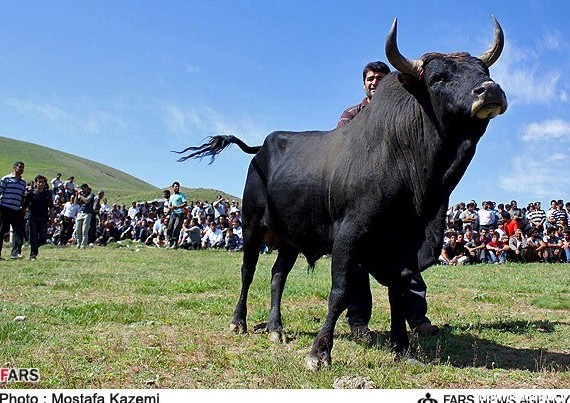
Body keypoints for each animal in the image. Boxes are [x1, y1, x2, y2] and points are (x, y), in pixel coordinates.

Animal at [178, 19, 506, 372]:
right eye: (437, 78)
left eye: (483, 69)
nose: (490, 90)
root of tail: (261, 148)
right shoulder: (350, 234)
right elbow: (341, 291)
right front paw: (319, 352)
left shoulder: (403, 244)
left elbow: (400, 291)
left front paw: (402, 346)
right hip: (252, 225)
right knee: (247, 272)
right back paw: (239, 321)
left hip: (290, 239)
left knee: (277, 276)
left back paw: (276, 328)